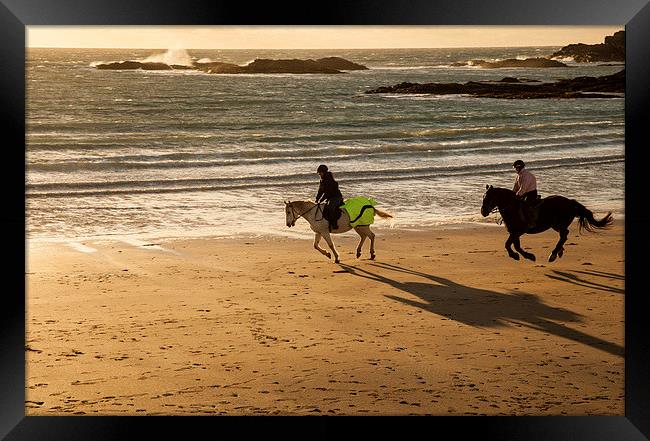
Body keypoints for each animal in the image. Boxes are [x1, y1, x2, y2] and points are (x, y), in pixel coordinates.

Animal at [478, 185, 612, 262]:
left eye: (488, 198)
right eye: (484, 197)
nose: (483, 211)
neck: (512, 207)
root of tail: (570, 202)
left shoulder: (517, 232)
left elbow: (508, 245)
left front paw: (522, 256)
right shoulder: (514, 232)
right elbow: (515, 245)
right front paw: (524, 256)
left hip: (559, 224)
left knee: (564, 235)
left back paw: (553, 254)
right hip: (555, 225)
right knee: (564, 236)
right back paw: (558, 252)